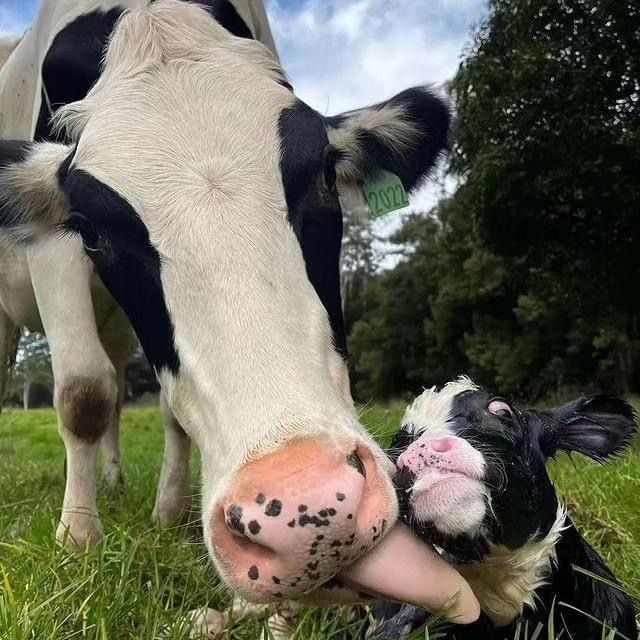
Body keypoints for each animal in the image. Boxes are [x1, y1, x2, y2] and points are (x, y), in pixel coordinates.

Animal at [0, 0, 481, 619]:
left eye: (325, 178)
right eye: (93, 231)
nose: (309, 510)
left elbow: (162, 407)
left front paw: (166, 512)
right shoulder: (54, 251)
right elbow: (84, 393)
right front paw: (79, 538)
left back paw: (114, 481)